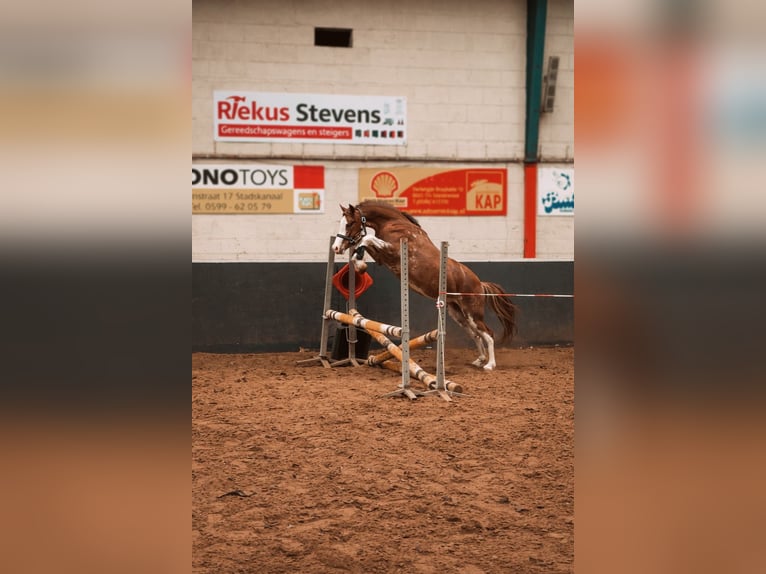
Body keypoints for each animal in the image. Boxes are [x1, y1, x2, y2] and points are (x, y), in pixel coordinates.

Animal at [332, 200, 517, 370]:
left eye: (349, 223)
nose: (336, 248)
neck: (393, 223)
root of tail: (479, 283)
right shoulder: (381, 258)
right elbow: (362, 243)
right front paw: (359, 264)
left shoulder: (394, 251)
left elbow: (366, 238)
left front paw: (360, 263)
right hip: (458, 314)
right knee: (476, 335)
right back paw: (479, 360)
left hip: (472, 313)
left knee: (488, 334)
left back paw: (490, 365)